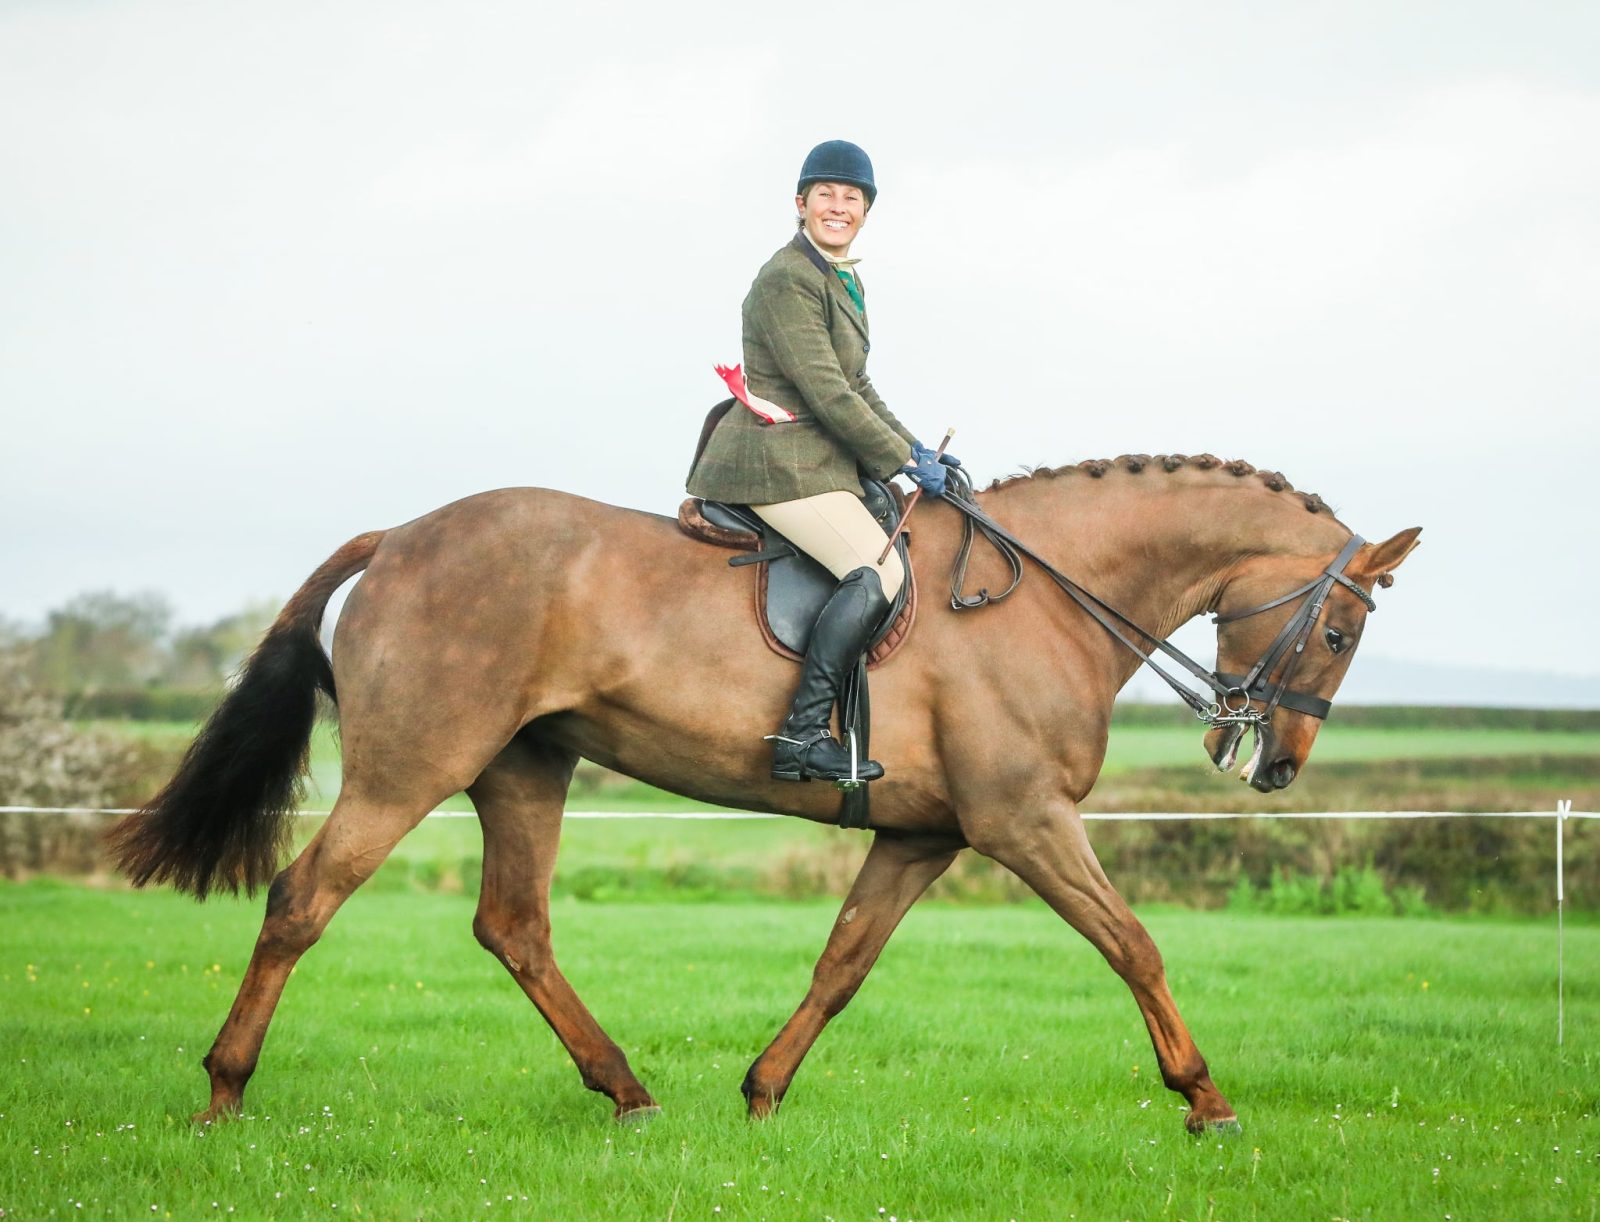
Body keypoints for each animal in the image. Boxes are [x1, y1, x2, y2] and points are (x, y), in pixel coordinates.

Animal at [107, 452, 1421, 1134]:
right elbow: (1133, 943)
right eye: (1341, 628)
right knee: (301, 901)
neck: (1047, 593)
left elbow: (842, 963)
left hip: (525, 767)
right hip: (410, 766)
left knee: (513, 925)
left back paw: (628, 1091)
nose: (1277, 763)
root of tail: (399, 535)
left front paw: (762, 1090)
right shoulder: (1023, 822)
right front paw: (1205, 1100)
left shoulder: (926, 836)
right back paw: (223, 1093)